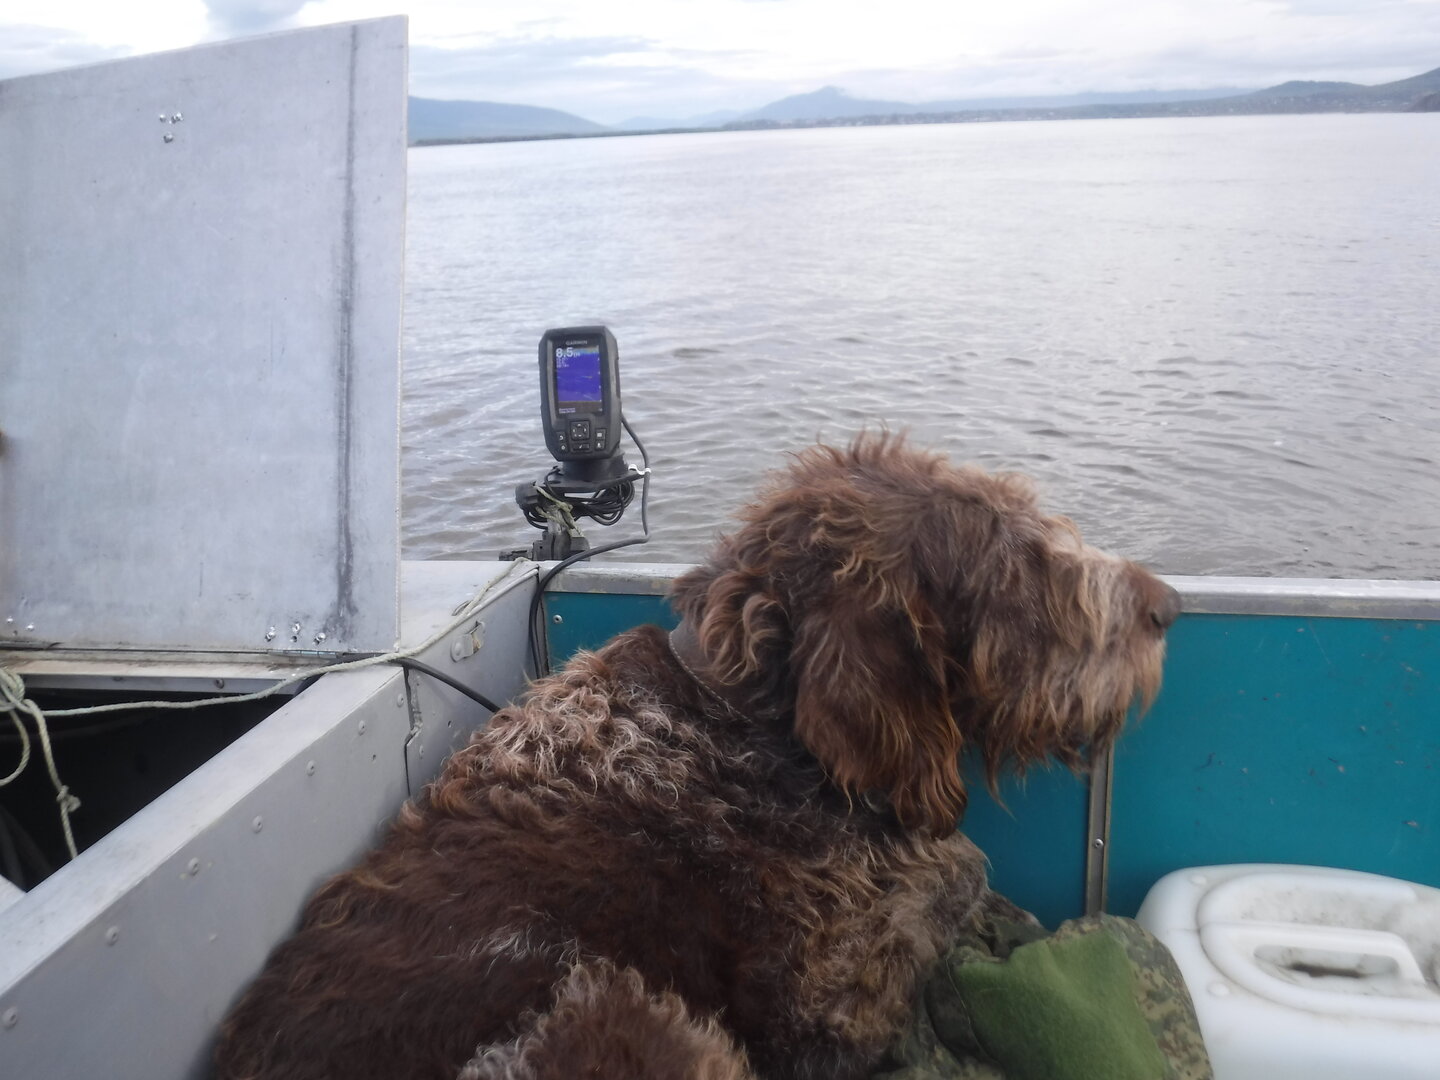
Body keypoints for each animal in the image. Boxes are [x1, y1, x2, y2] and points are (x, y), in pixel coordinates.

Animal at [214, 433, 1179, 1080]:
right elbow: (949, 908)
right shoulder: (836, 1014)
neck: (749, 721)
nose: (1165, 604)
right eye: (1019, 556)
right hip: (626, 1014)